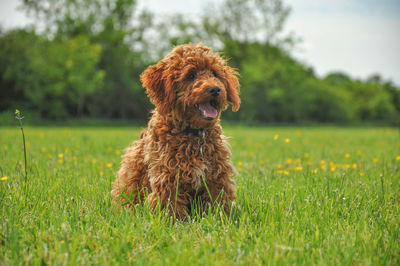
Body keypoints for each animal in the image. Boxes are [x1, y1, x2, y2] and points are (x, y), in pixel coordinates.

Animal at [110, 42, 241, 219]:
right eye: (191, 75)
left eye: (214, 73)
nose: (215, 89)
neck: (195, 135)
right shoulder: (169, 177)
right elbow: (170, 207)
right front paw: (174, 222)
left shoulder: (217, 176)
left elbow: (219, 204)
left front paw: (222, 218)